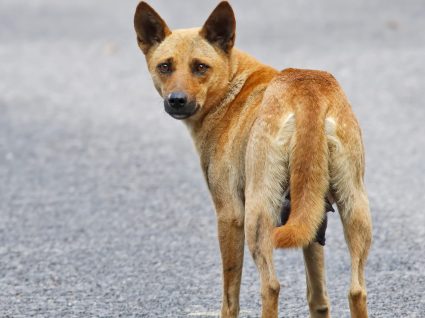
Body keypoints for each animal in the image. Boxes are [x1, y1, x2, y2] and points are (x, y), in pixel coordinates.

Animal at [133, 1, 372, 316]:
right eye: (165, 66)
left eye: (200, 67)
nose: (177, 100)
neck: (231, 86)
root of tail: (307, 91)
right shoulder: (312, 219)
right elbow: (319, 298)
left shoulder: (229, 215)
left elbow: (230, 297)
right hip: (354, 206)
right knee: (356, 291)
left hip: (258, 216)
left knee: (270, 286)